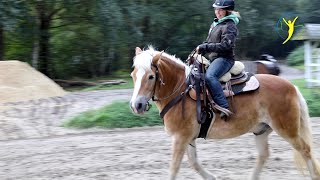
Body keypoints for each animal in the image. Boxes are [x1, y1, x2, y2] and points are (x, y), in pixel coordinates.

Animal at [129, 46, 318, 180]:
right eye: (133, 75)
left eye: (151, 76)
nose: (136, 105)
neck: (180, 90)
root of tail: (292, 87)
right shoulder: (187, 138)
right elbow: (194, 162)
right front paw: (212, 177)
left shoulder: (180, 138)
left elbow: (174, 168)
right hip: (261, 130)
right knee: (264, 155)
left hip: (288, 130)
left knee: (305, 150)